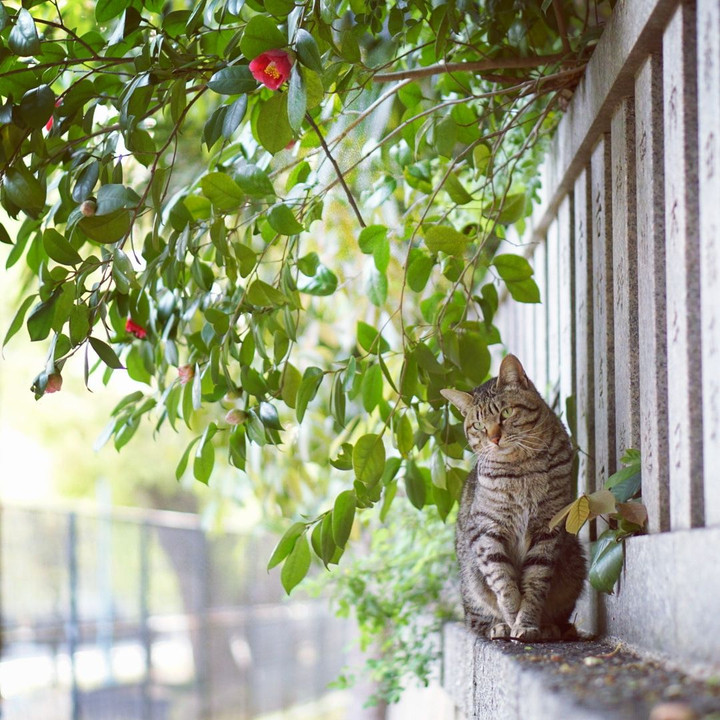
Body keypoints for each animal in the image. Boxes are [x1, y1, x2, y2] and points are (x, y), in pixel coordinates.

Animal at [442, 354, 588, 640]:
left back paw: (550, 628)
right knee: (474, 619)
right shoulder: (487, 530)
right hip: (470, 581)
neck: (521, 469)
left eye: (506, 413)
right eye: (478, 425)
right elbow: (503, 582)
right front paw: (512, 619)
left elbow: (536, 580)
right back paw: (497, 627)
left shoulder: (548, 527)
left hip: (575, 563)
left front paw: (528, 624)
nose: (494, 438)